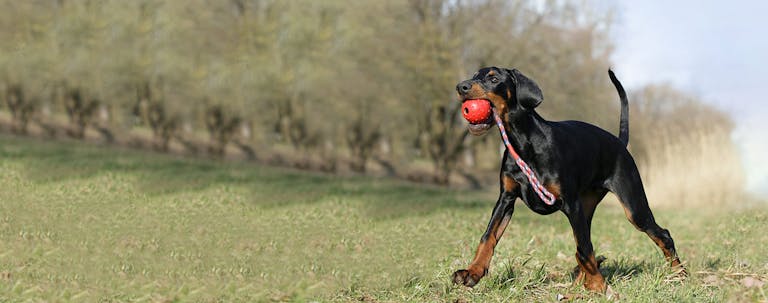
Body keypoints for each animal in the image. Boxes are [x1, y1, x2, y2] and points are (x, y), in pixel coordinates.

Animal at [450, 67, 684, 294]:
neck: (524, 142)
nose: (461, 87)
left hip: (632, 207)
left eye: (493, 78)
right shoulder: (506, 198)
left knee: (661, 234)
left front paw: (598, 285)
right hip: (586, 208)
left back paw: (679, 274)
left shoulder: (570, 204)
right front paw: (472, 272)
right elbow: (487, 237)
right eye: (474, 75)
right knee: (586, 243)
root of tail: (619, 142)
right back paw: (580, 282)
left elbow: (584, 249)